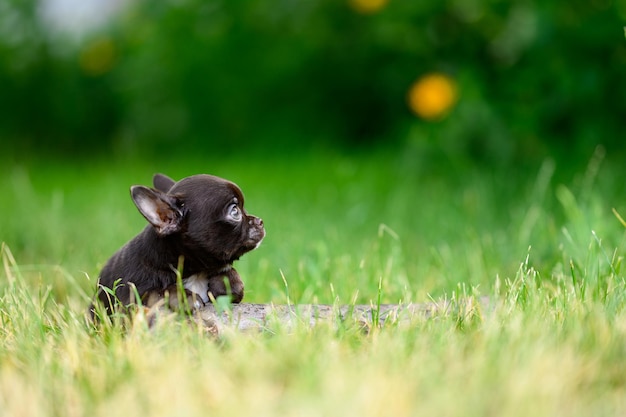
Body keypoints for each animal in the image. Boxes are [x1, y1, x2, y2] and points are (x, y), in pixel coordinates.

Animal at [91, 172, 264, 316]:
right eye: (235, 211)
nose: (260, 221)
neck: (196, 272)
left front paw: (227, 282)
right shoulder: (132, 301)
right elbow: (158, 291)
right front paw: (185, 297)